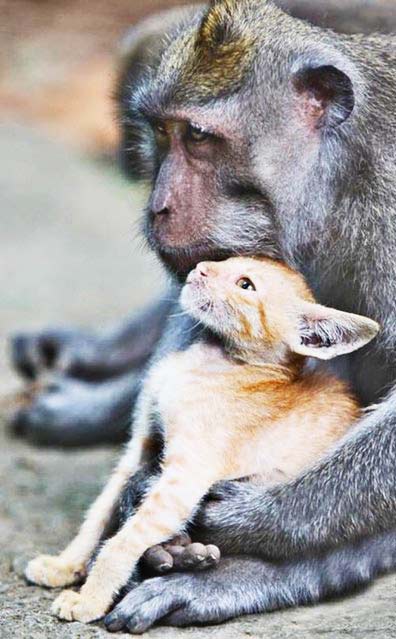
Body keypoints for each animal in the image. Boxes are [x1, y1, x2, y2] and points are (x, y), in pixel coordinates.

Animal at [26, 256, 378, 624]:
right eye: (229, 260)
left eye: (245, 284)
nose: (202, 267)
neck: (210, 360)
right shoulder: (140, 447)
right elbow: (100, 512)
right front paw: (64, 565)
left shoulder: (184, 480)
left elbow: (123, 541)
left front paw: (89, 600)